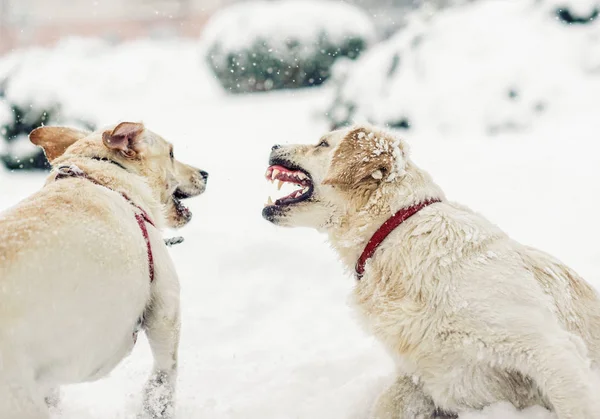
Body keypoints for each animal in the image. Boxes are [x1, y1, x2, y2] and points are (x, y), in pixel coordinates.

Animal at [0, 122, 207, 419]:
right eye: (171, 153)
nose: (205, 174)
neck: (105, 178)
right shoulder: (165, 306)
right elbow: (165, 372)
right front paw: (157, 407)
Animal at [264, 123, 600, 418]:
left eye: (322, 143)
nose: (272, 144)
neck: (393, 233)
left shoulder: (551, 349)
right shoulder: (423, 377)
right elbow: (386, 404)